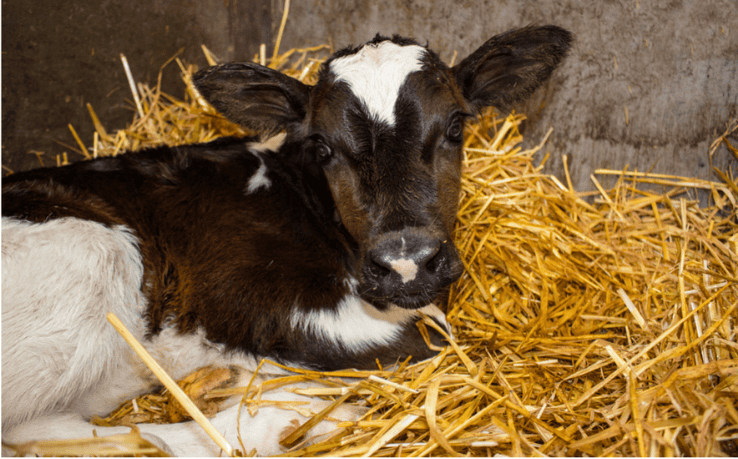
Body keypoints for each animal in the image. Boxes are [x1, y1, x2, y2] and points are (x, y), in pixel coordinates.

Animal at [2, 25, 571, 456]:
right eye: (322, 146)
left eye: (455, 126)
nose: (406, 263)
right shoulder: (250, 302)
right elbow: (416, 344)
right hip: (96, 255)